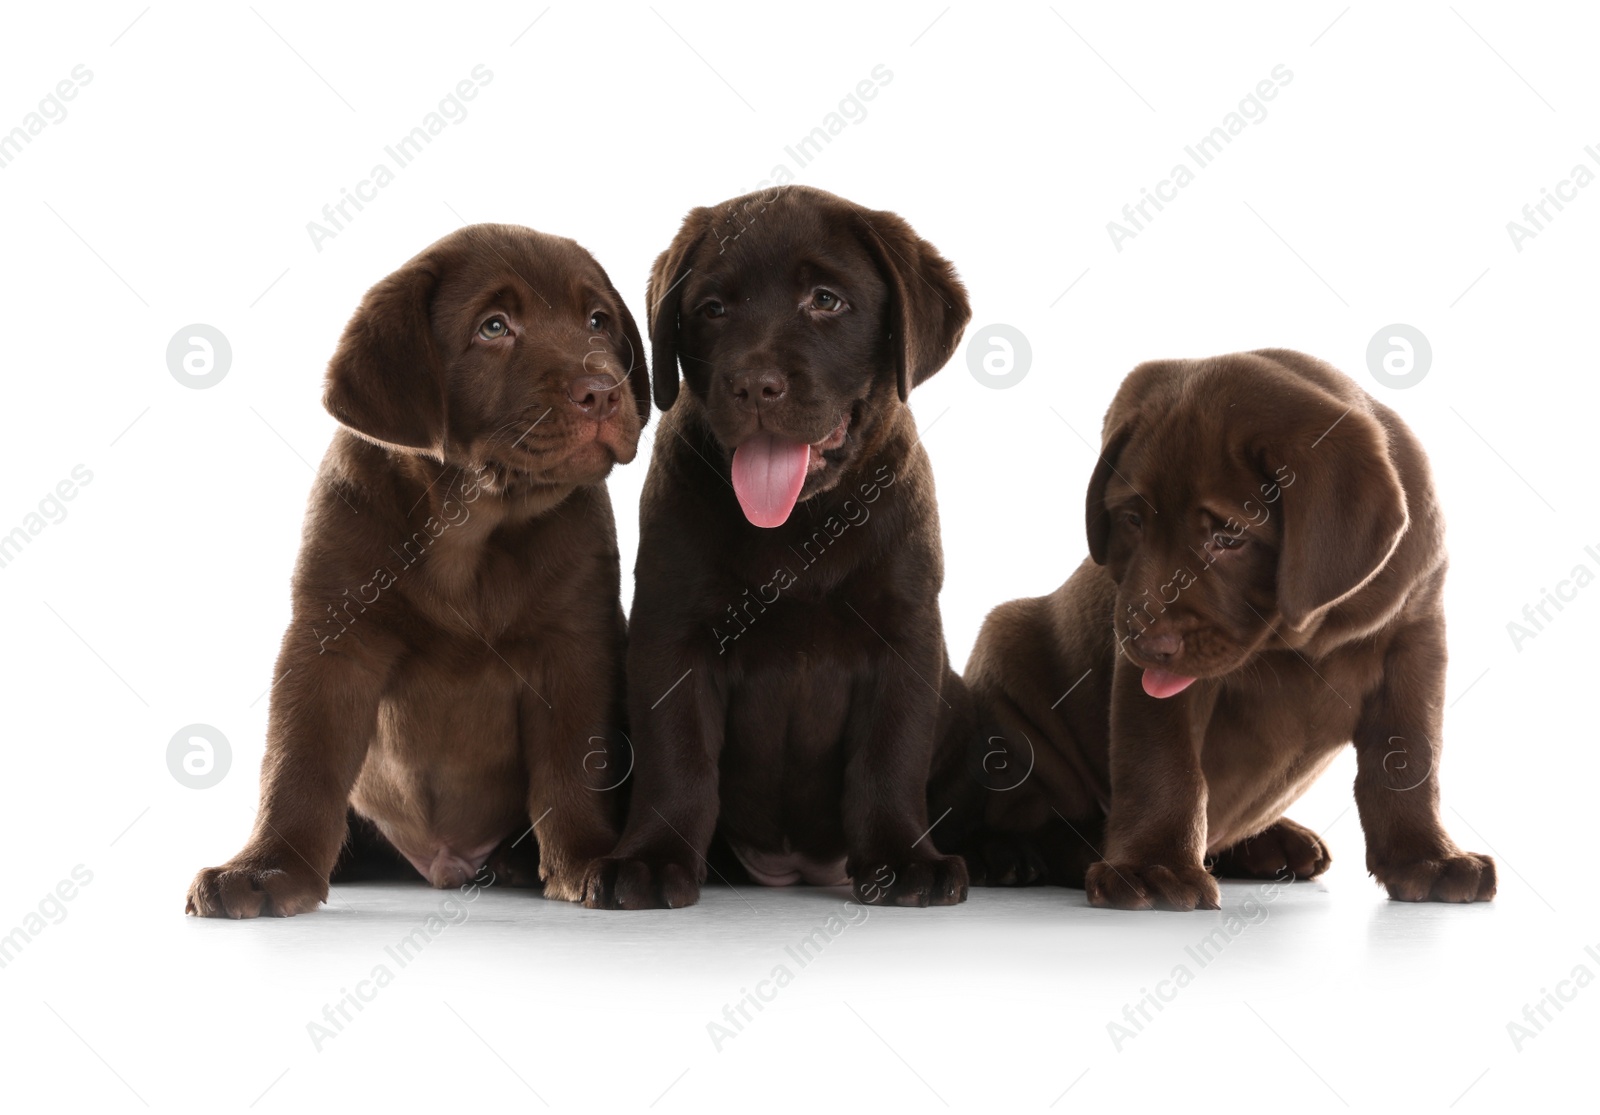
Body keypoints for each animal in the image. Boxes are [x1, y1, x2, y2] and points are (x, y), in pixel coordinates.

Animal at [192, 223, 649, 915]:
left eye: (597, 320)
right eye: (494, 327)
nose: (601, 391)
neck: (471, 523)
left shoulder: (577, 640)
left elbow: (578, 758)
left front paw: (589, 857)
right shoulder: (331, 637)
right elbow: (299, 759)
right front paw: (267, 868)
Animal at [960, 348, 1497, 902]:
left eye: (1229, 537)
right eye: (1132, 519)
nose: (1144, 640)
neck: (1303, 639)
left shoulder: (1416, 639)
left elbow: (1409, 758)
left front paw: (1428, 858)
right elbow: (1162, 763)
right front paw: (1152, 866)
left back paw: (1272, 844)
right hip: (1005, 659)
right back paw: (1024, 853)